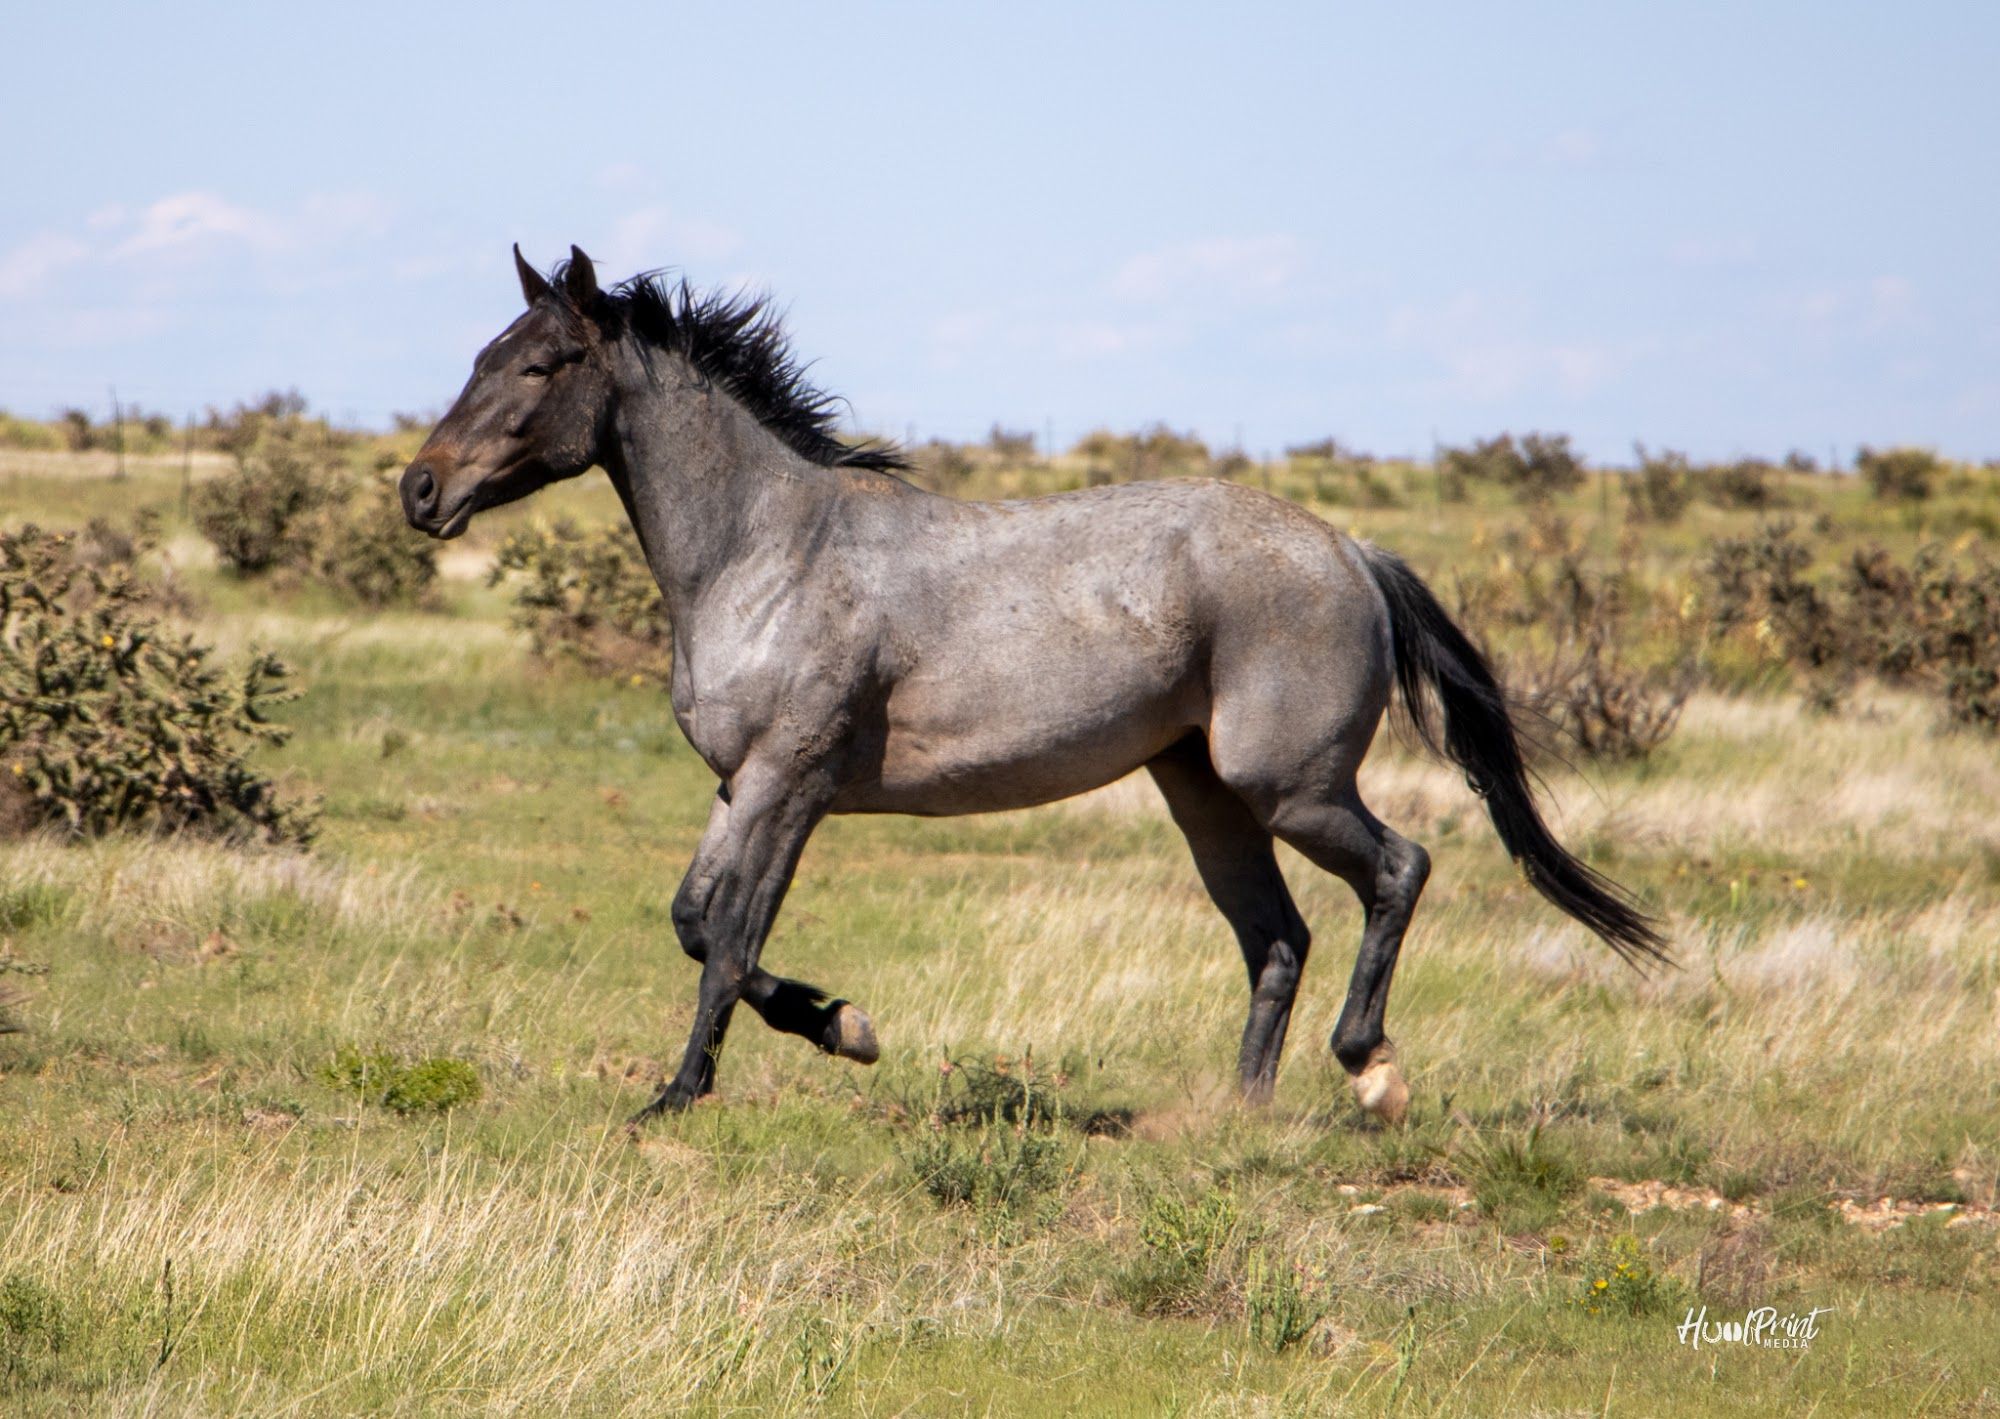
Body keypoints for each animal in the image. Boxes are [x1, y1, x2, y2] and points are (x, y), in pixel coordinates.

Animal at [400, 245, 1665, 1125]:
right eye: (480, 355)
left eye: (543, 363)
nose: (420, 490)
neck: (767, 550)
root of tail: (1351, 552)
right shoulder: (738, 788)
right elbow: (696, 922)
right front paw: (839, 1024)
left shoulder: (786, 785)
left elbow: (726, 941)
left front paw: (693, 1089)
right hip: (1203, 797)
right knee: (1276, 938)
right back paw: (1240, 1117)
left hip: (1287, 786)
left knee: (1396, 870)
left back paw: (1369, 1072)